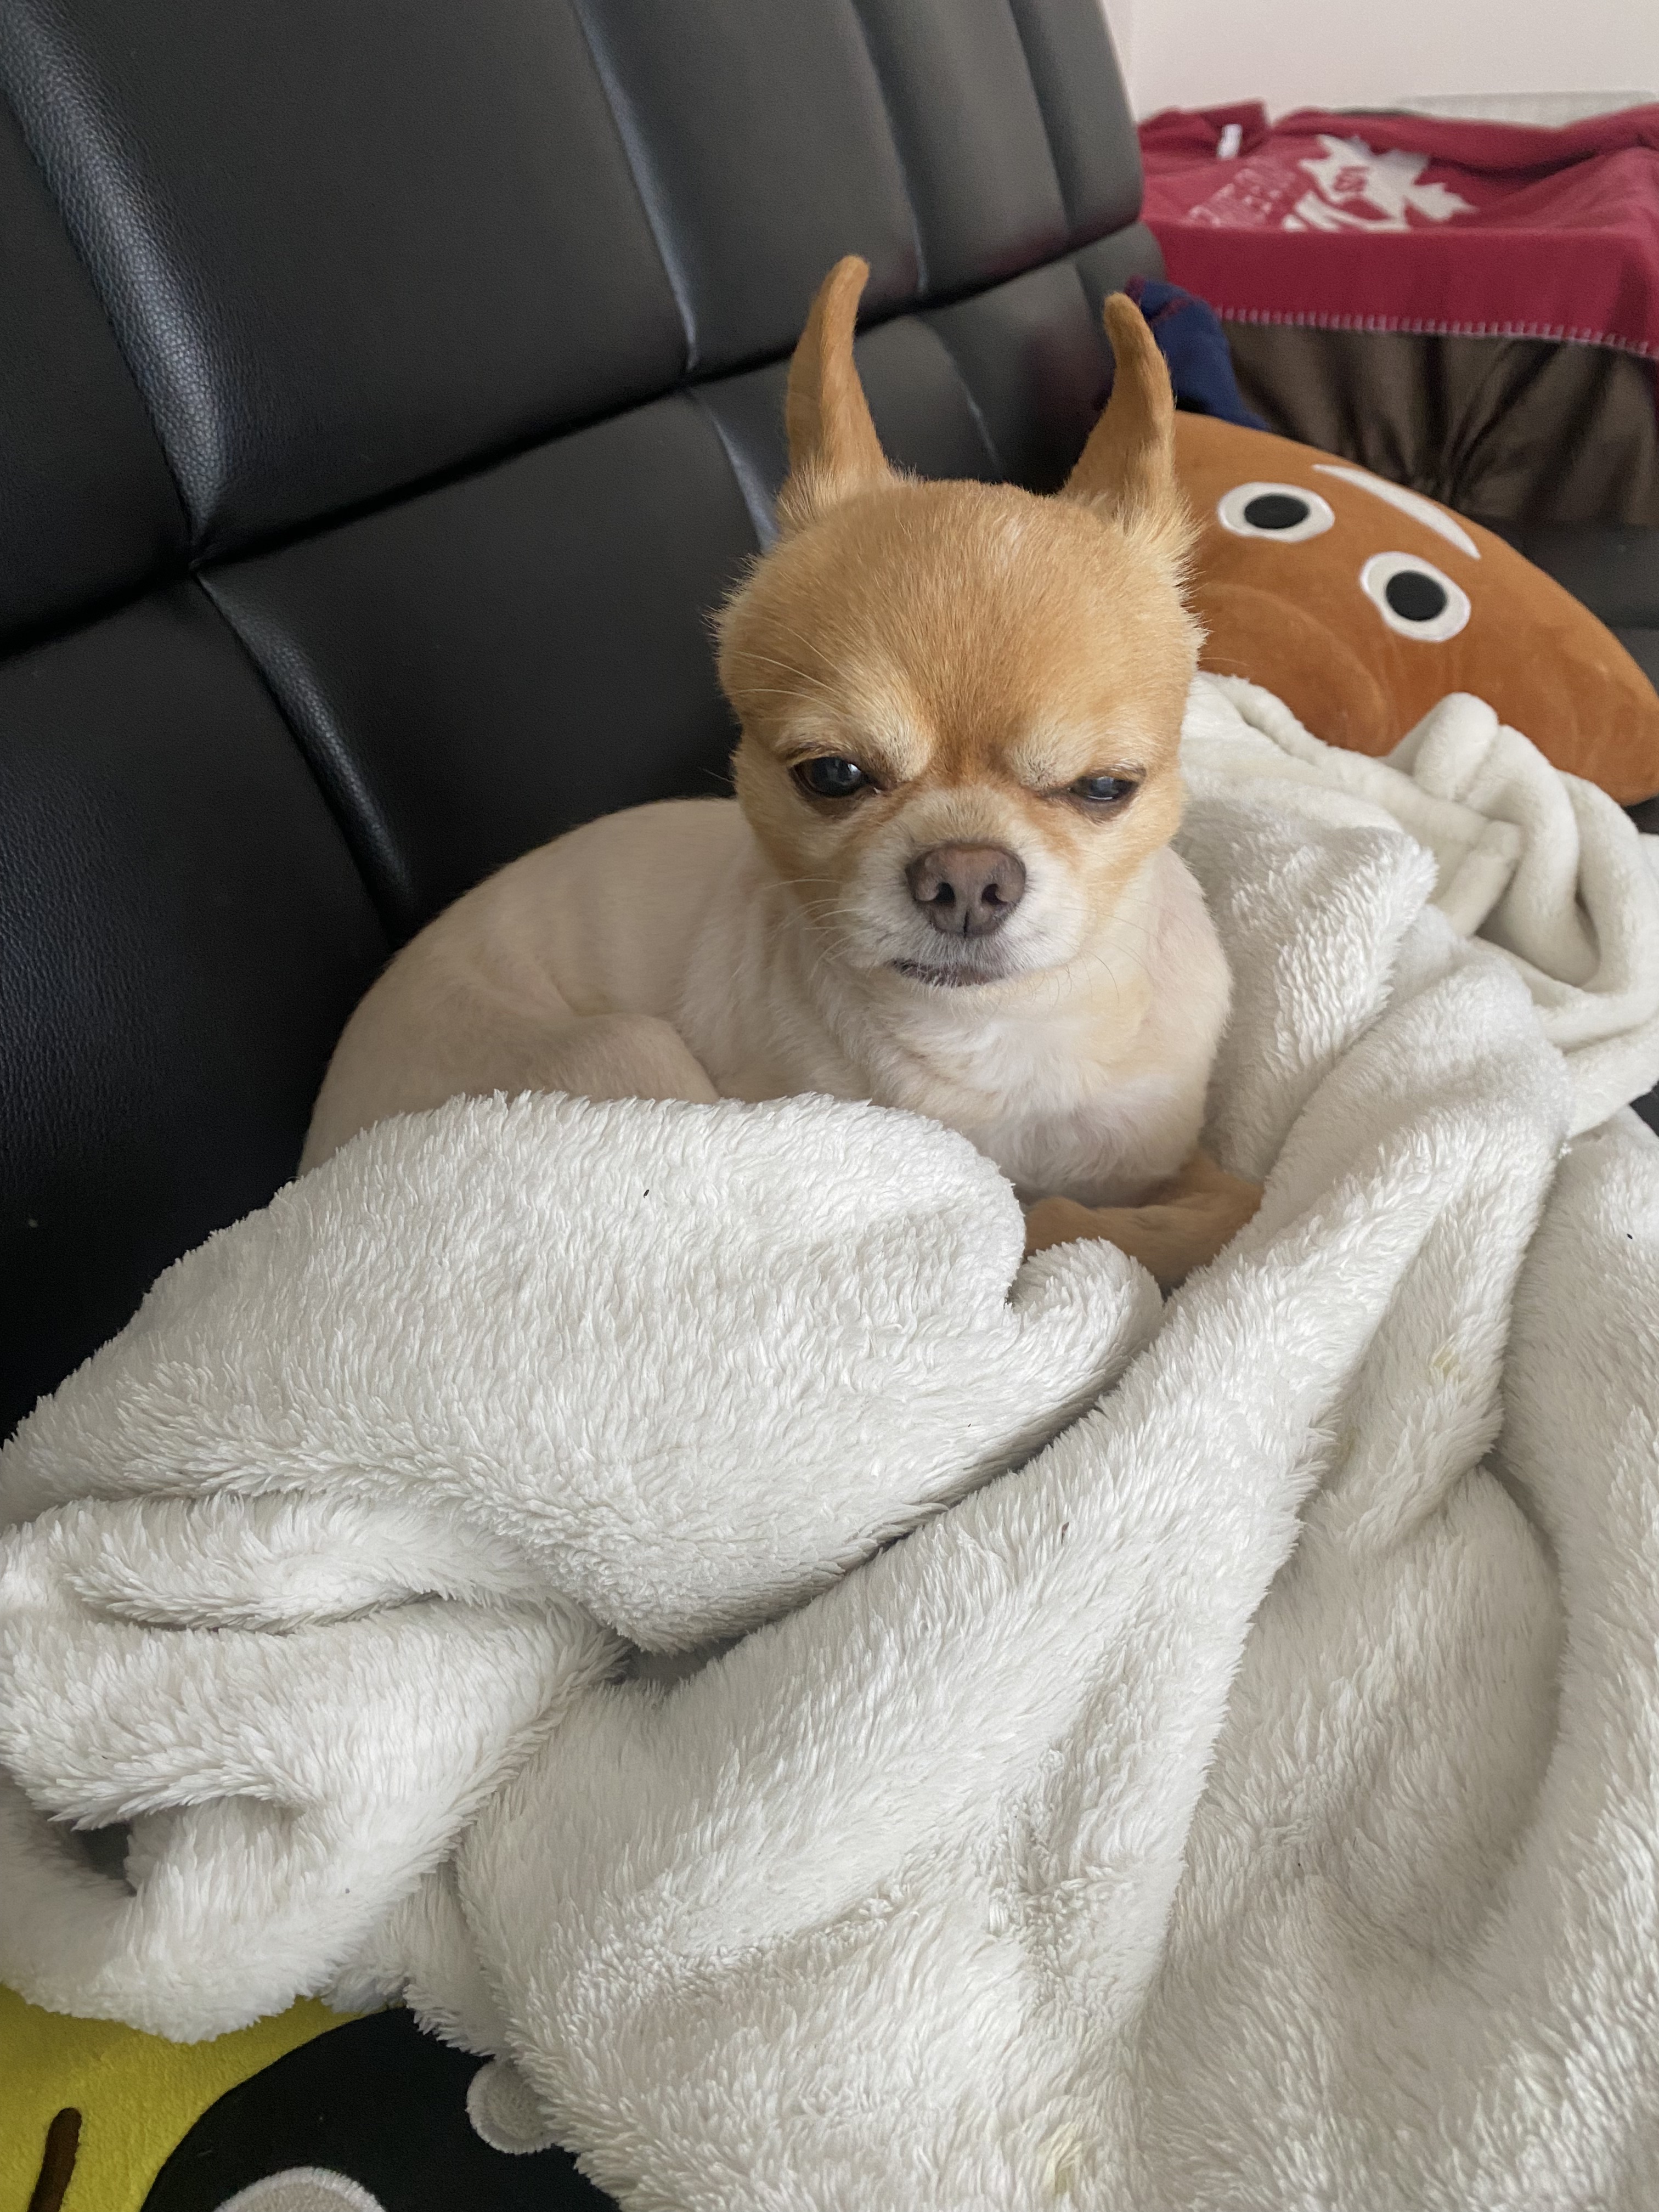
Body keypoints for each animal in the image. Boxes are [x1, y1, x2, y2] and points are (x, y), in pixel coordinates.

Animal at [301, 258, 1260, 1288]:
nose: (966, 877)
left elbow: (1221, 1199)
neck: (1006, 1036)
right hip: (624, 1054)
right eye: (833, 774)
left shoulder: (1159, 1146)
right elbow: (1043, 1220)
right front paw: (1067, 1225)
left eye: (1103, 788)